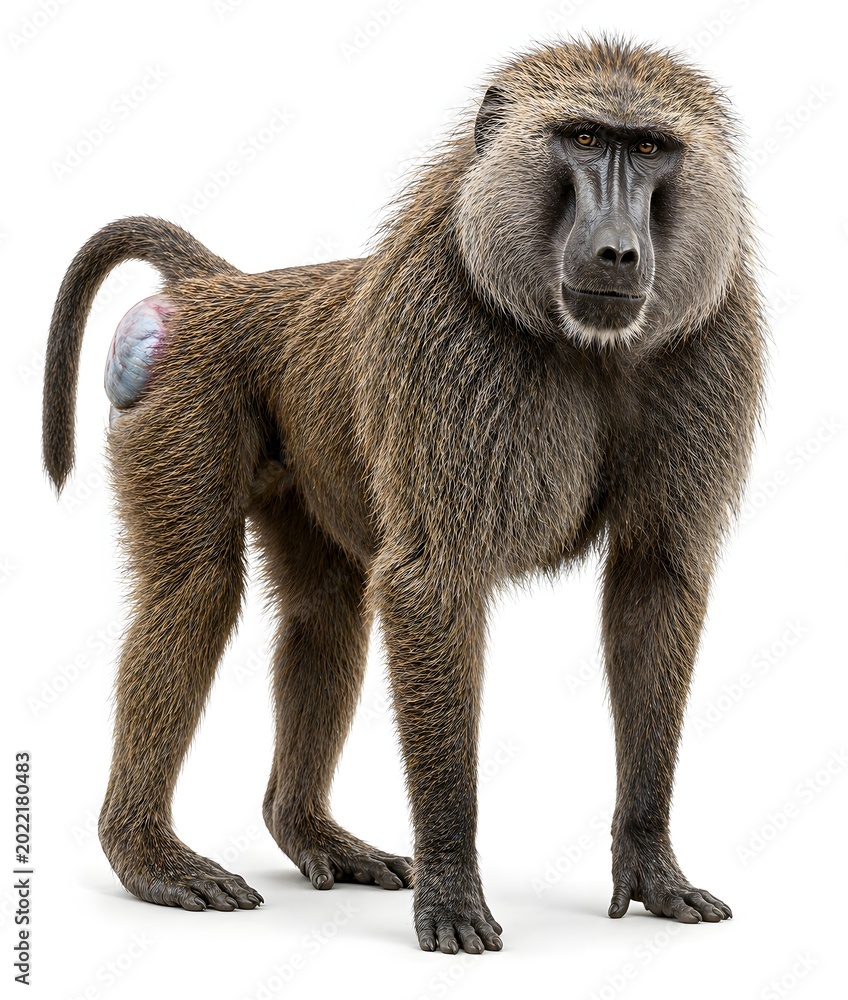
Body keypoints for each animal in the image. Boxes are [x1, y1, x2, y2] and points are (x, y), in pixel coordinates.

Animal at [42, 35, 764, 954]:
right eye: (582, 139)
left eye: (647, 148)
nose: (617, 251)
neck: (585, 344)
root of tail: (223, 286)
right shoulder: (448, 345)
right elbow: (432, 584)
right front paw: (452, 888)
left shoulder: (711, 341)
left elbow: (655, 581)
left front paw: (650, 867)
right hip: (183, 394)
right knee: (194, 592)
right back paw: (149, 858)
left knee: (324, 611)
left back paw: (308, 831)